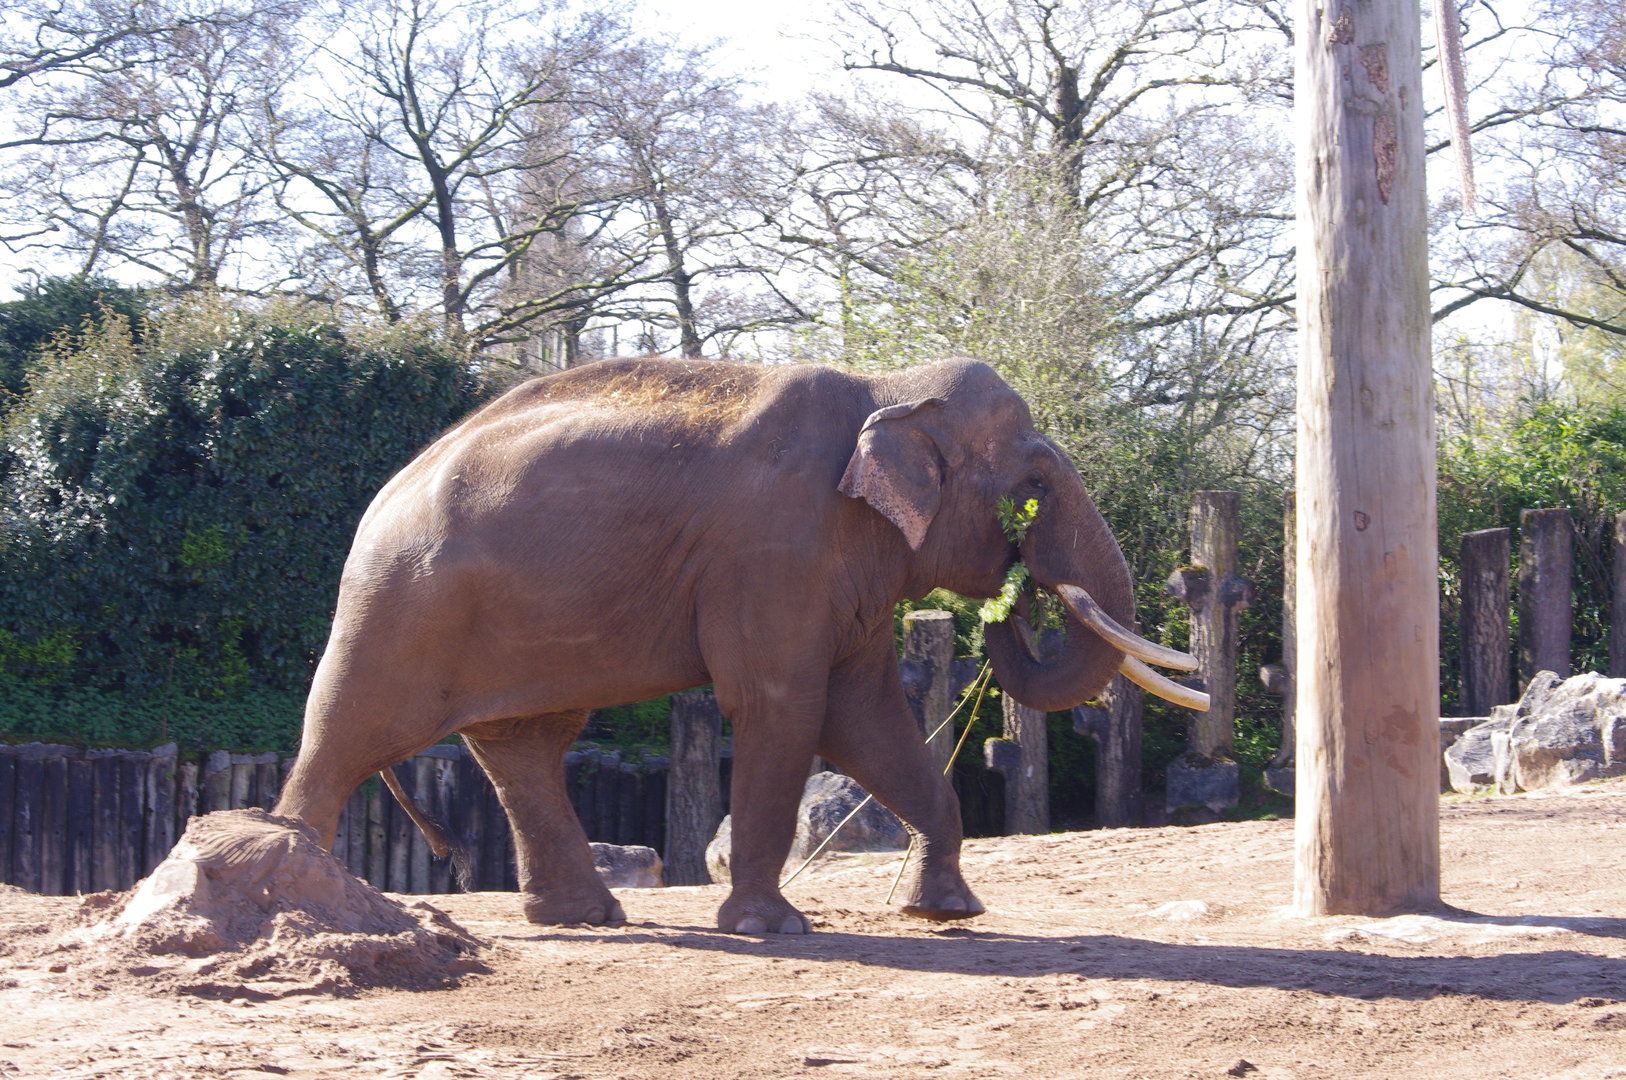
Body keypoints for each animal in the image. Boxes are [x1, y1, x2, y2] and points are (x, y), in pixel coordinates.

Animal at [274, 356, 1200, 935]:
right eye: (1032, 488)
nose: (1021, 586)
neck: (887, 389)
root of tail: (382, 497)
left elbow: (864, 717)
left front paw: (946, 913)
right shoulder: (775, 548)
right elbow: (784, 707)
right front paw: (774, 927)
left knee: (526, 746)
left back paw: (583, 918)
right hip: (400, 608)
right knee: (350, 734)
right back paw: (302, 902)